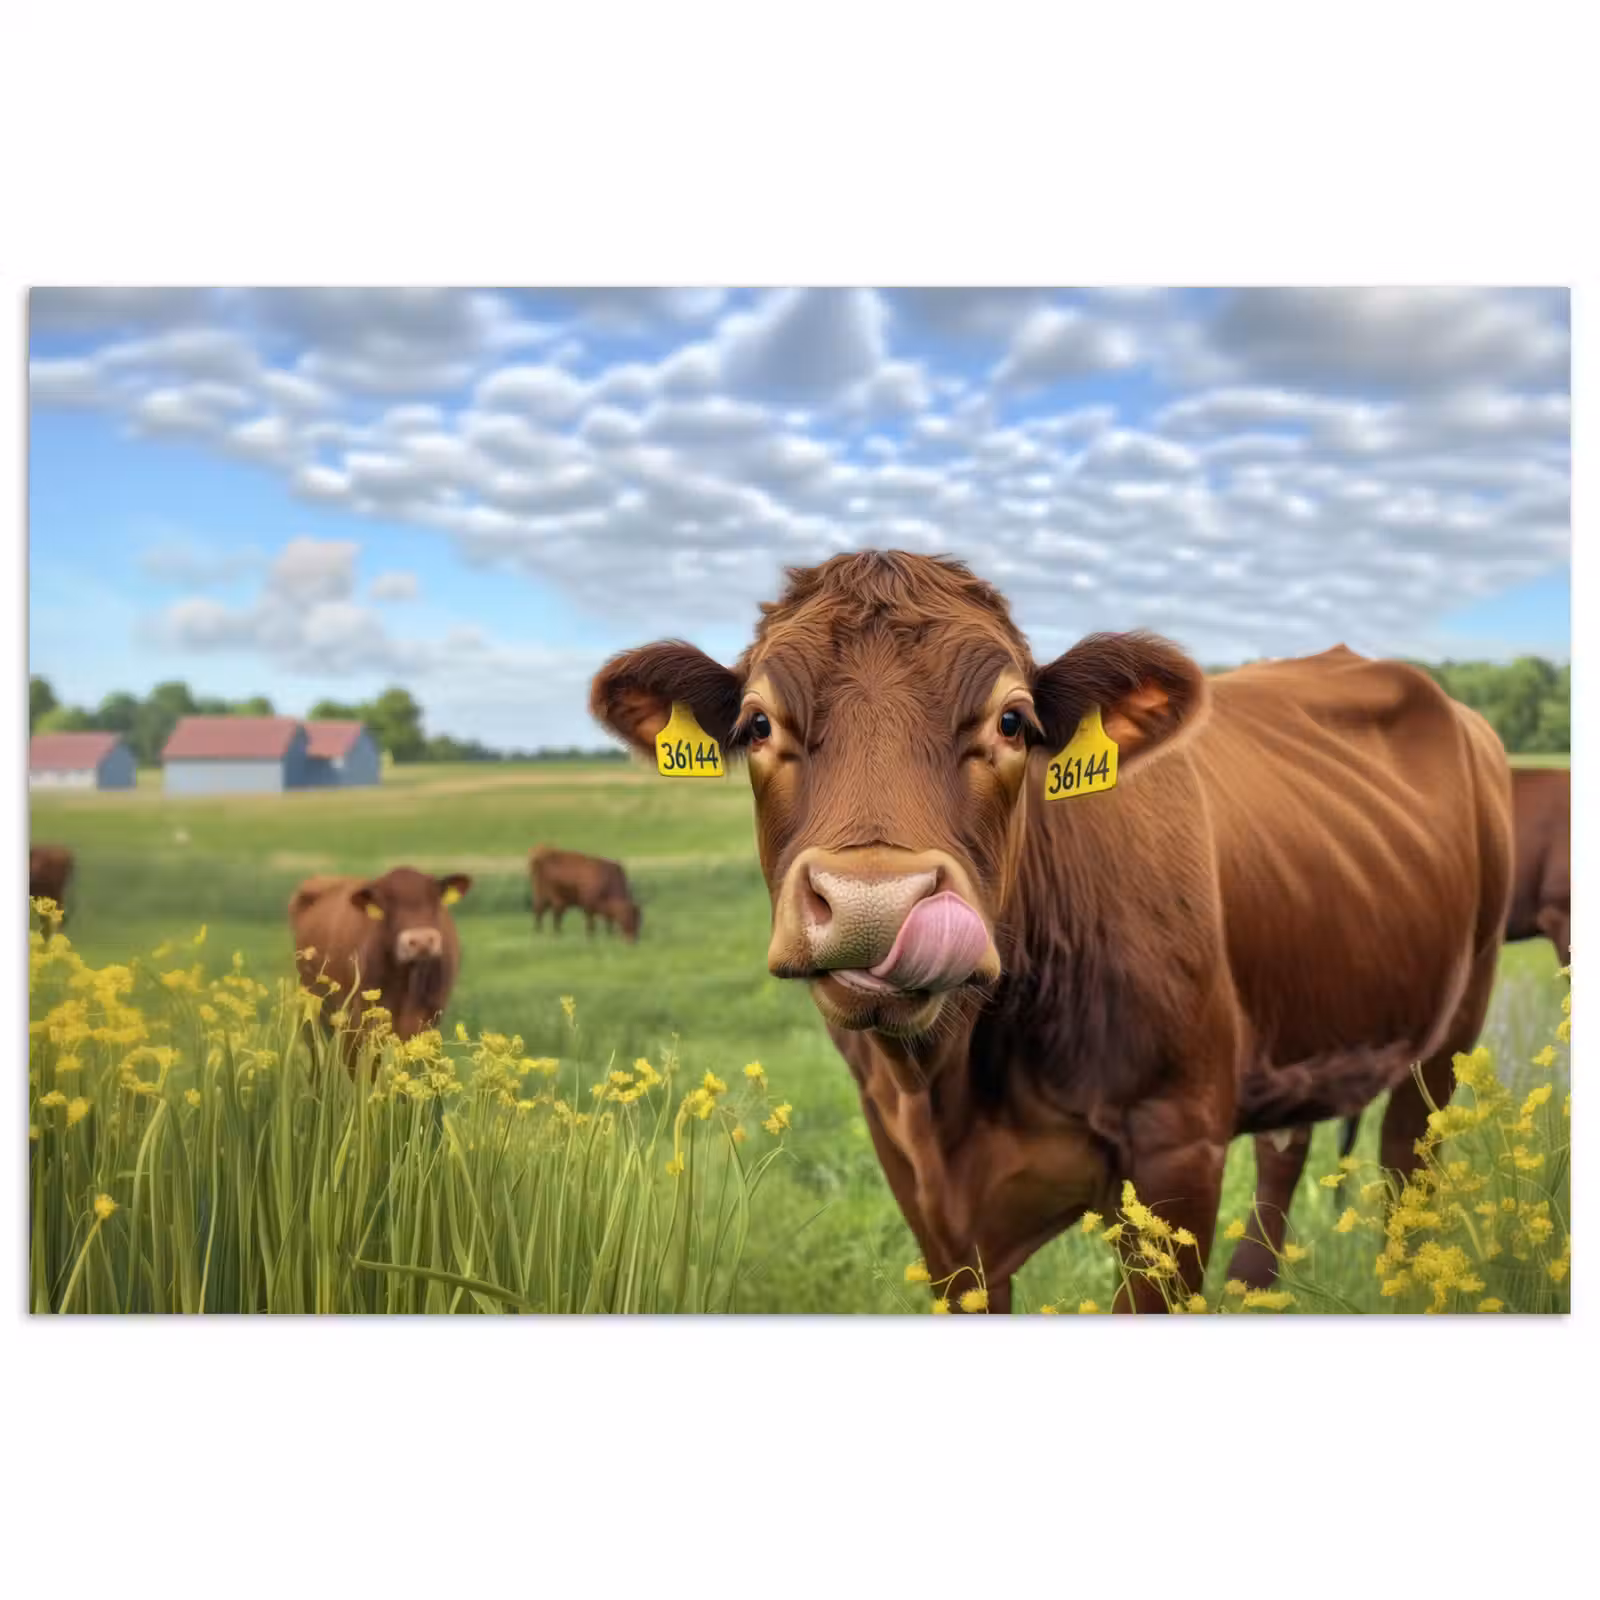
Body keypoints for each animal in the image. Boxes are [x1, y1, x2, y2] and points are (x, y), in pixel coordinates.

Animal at [590, 551, 1513, 1313]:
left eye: (1012, 722)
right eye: (756, 725)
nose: (874, 903)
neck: (954, 1082)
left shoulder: (1178, 1148)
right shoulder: (916, 1178)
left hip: (1452, 1029)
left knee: (1406, 1159)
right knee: (1289, 1150)